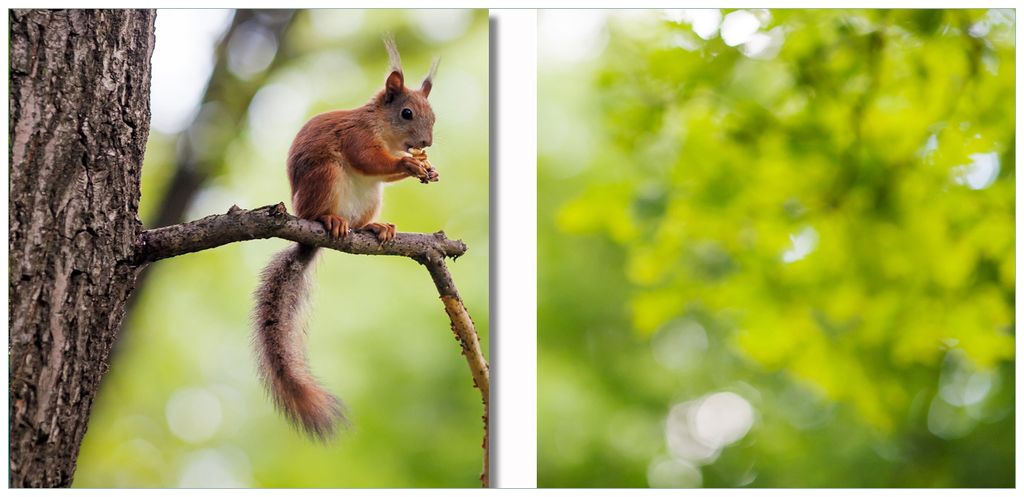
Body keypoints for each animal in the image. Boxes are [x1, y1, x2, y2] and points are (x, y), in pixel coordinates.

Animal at [252, 38, 439, 440]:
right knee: (322, 210)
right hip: (325, 177)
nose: (426, 142)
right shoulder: (356, 137)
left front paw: (426, 168)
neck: (381, 128)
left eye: (433, 115)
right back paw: (330, 220)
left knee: (362, 220)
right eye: (406, 113)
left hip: (370, 198)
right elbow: (369, 159)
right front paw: (409, 164)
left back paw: (375, 228)